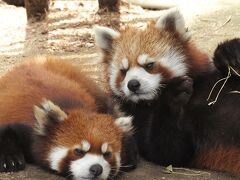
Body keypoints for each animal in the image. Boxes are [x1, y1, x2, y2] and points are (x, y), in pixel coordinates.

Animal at [0, 56, 136, 179]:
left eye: (107, 154)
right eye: (78, 151)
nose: (97, 168)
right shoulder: (28, 129)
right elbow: (7, 131)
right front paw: (10, 160)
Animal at [94, 8, 240, 176]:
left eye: (149, 65)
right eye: (123, 71)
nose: (133, 84)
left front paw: (230, 52)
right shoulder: (135, 119)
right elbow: (168, 151)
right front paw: (172, 95)